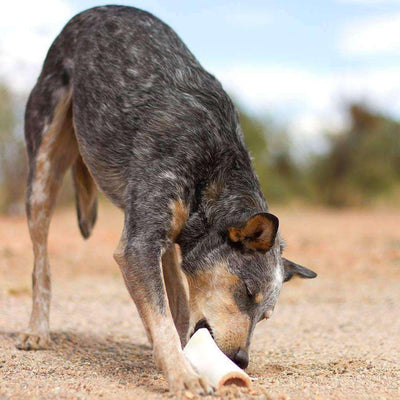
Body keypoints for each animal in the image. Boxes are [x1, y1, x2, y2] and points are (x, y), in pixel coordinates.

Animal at [18, 4, 318, 396]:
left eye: (265, 314)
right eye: (246, 291)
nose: (240, 361)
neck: (213, 172)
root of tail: (89, 12)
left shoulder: (158, 241)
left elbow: (173, 311)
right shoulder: (136, 247)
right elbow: (161, 318)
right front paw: (182, 374)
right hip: (43, 174)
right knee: (41, 265)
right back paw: (37, 330)